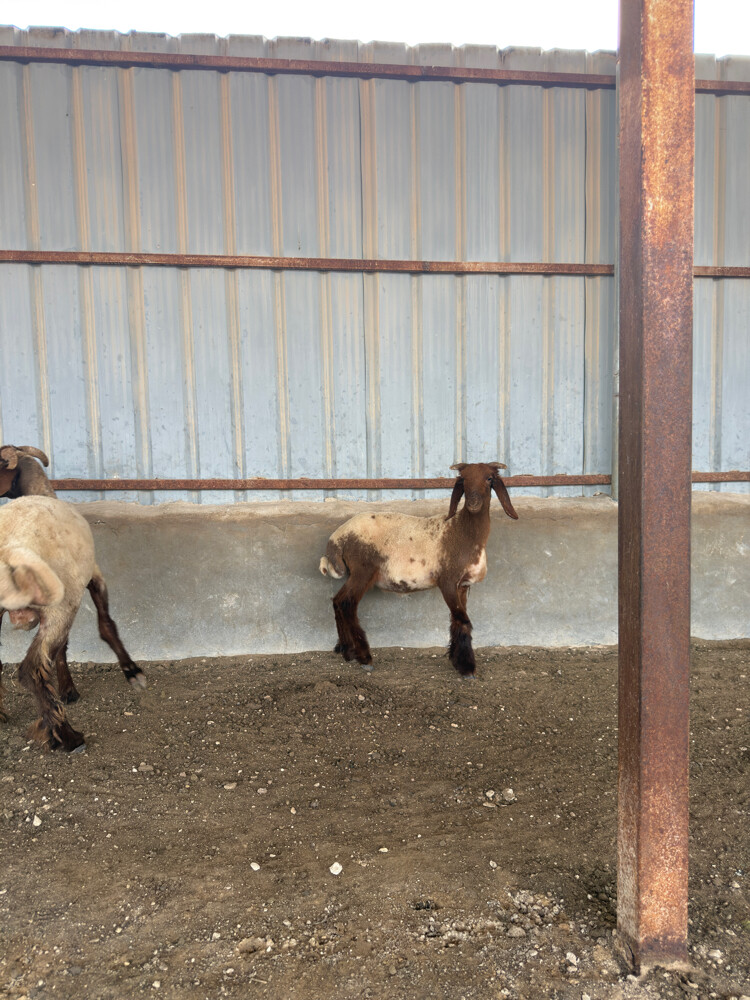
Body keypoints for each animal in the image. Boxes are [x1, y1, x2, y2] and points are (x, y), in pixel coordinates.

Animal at [0, 443, 145, 705]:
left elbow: (63, 646)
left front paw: (67, 688)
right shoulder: (93, 577)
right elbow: (106, 625)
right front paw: (132, 672)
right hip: (61, 602)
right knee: (31, 667)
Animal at [319, 462, 518, 677]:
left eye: (489, 478)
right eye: (464, 479)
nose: (473, 503)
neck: (461, 531)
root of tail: (337, 538)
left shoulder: (463, 585)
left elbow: (457, 621)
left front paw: (456, 659)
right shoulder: (447, 581)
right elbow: (462, 620)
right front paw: (467, 668)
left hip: (357, 573)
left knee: (338, 601)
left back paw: (346, 651)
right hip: (363, 570)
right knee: (347, 603)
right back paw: (364, 657)